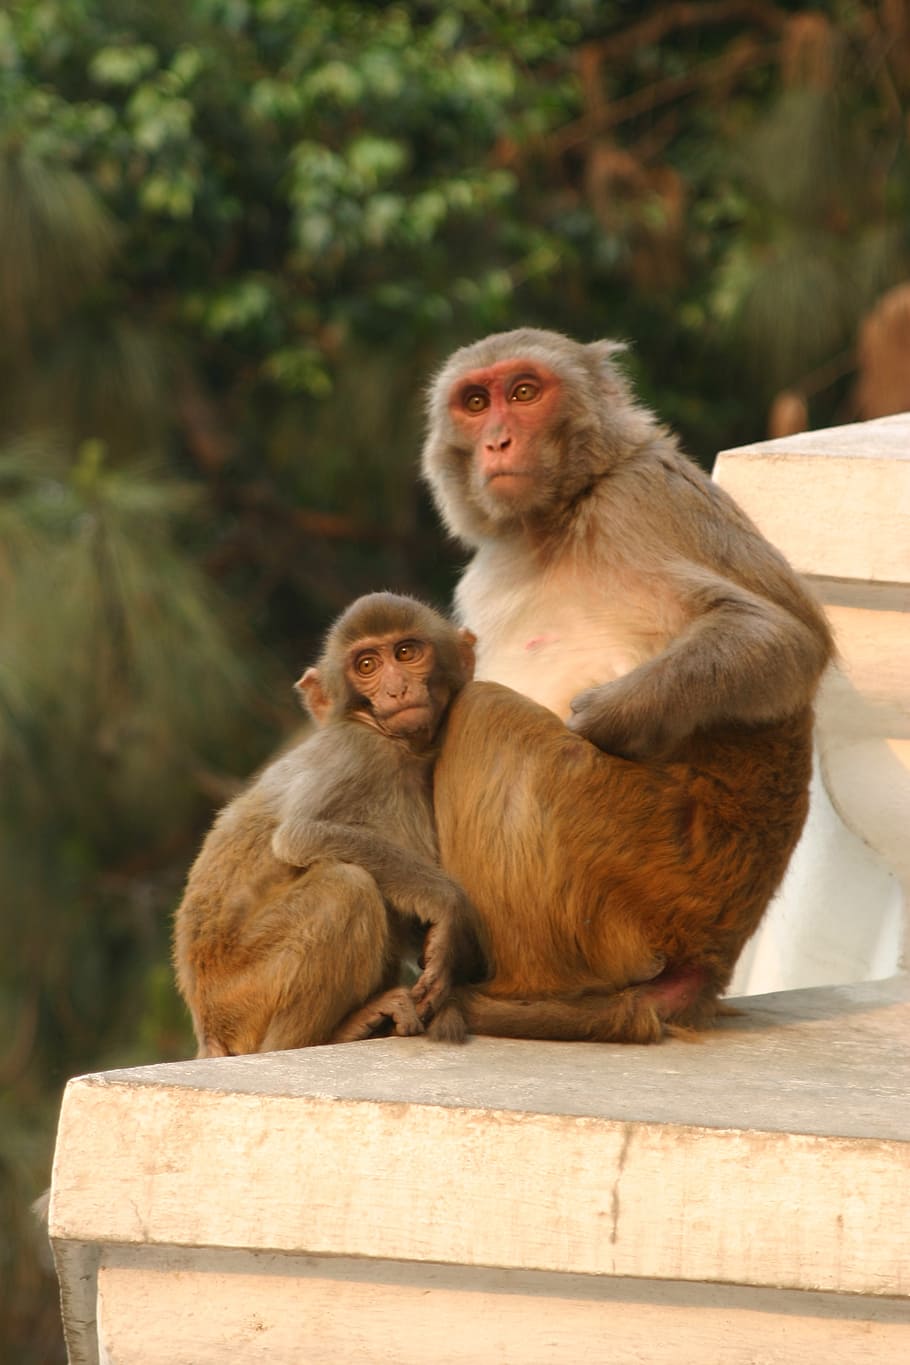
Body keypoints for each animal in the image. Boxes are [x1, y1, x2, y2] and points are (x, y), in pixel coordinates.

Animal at [174, 592, 487, 1057]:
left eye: (406, 653)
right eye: (367, 665)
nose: (396, 688)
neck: (396, 745)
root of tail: (205, 1025)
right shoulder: (357, 752)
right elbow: (301, 836)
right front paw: (448, 907)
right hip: (242, 998)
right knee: (346, 887)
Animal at [420, 327, 835, 1041]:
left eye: (523, 393)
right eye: (475, 402)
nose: (497, 440)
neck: (556, 522)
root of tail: (712, 959)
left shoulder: (644, 499)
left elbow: (784, 637)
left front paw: (602, 717)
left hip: (647, 874)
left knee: (485, 715)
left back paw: (513, 993)